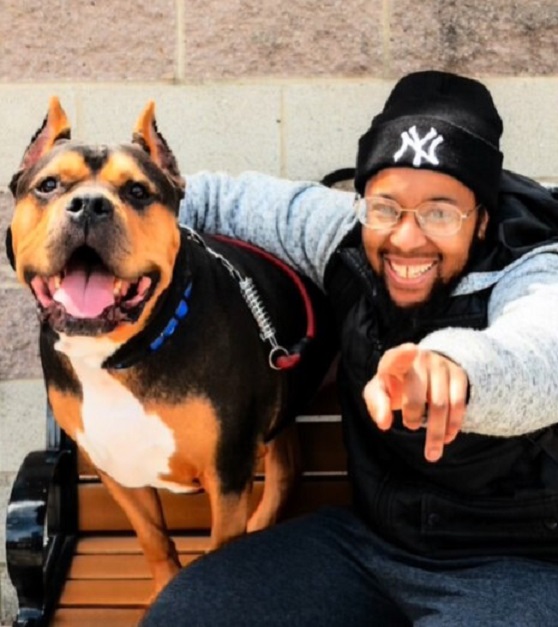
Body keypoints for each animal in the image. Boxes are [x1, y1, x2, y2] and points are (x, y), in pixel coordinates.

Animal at [5, 99, 336, 600]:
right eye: (48, 185)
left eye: (138, 192)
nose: (89, 205)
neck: (120, 355)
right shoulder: (116, 467)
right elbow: (154, 539)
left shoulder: (227, 475)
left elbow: (219, 553)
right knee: (286, 464)